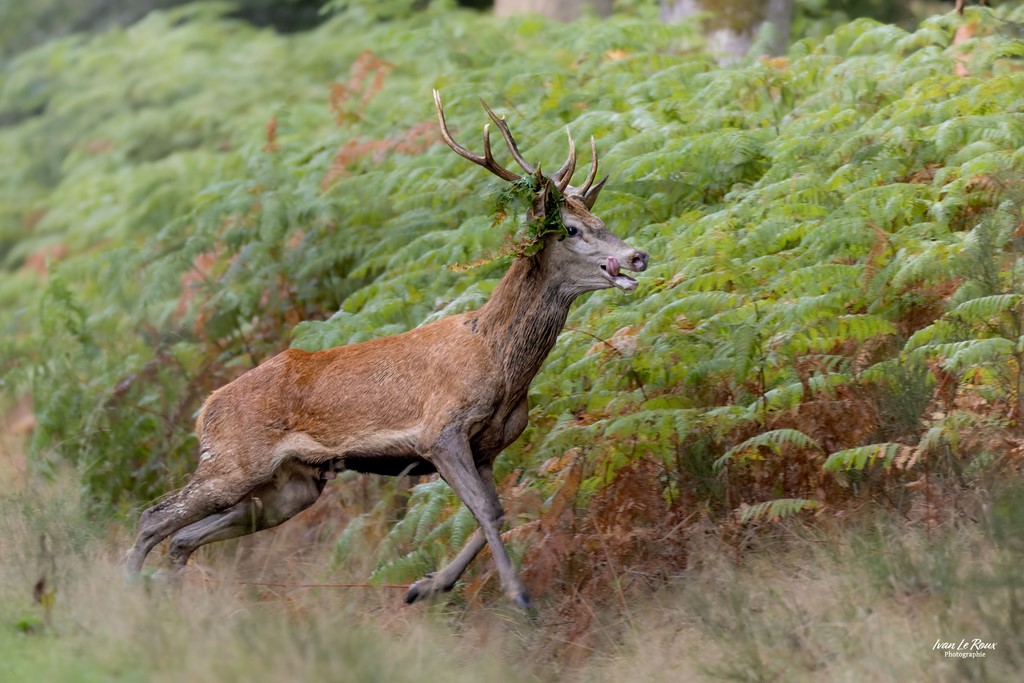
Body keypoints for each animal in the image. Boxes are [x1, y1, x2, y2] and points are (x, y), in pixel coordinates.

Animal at [124, 90, 649, 608]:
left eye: (600, 219)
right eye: (571, 230)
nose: (637, 255)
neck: (500, 364)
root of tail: (204, 410)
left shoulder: (488, 445)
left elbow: (496, 510)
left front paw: (427, 585)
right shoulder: (440, 430)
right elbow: (485, 509)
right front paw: (516, 594)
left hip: (290, 486)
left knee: (183, 537)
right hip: (232, 461)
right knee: (153, 517)